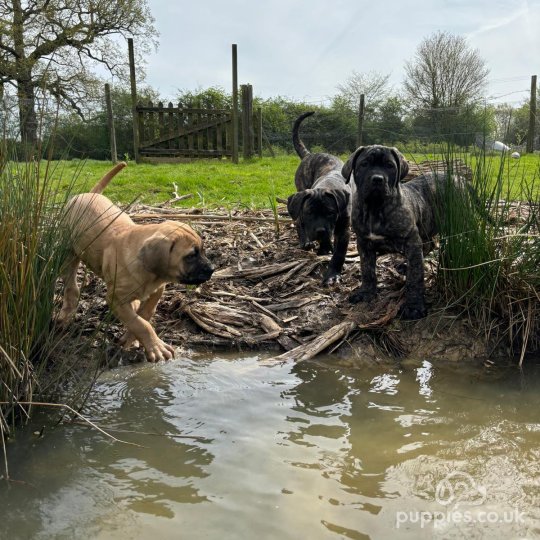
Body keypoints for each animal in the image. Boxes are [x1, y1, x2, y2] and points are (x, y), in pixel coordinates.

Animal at [286, 111, 354, 284]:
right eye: (309, 212)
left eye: (330, 213)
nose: (320, 231)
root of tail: (309, 155)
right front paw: (324, 250)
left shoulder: (343, 230)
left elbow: (339, 253)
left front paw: (332, 274)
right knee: (298, 222)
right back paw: (306, 242)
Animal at [344, 144, 446, 320]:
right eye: (364, 164)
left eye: (390, 166)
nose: (377, 179)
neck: (375, 208)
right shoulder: (363, 243)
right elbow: (367, 270)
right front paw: (366, 292)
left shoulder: (411, 241)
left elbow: (415, 276)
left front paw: (414, 306)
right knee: (429, 245)